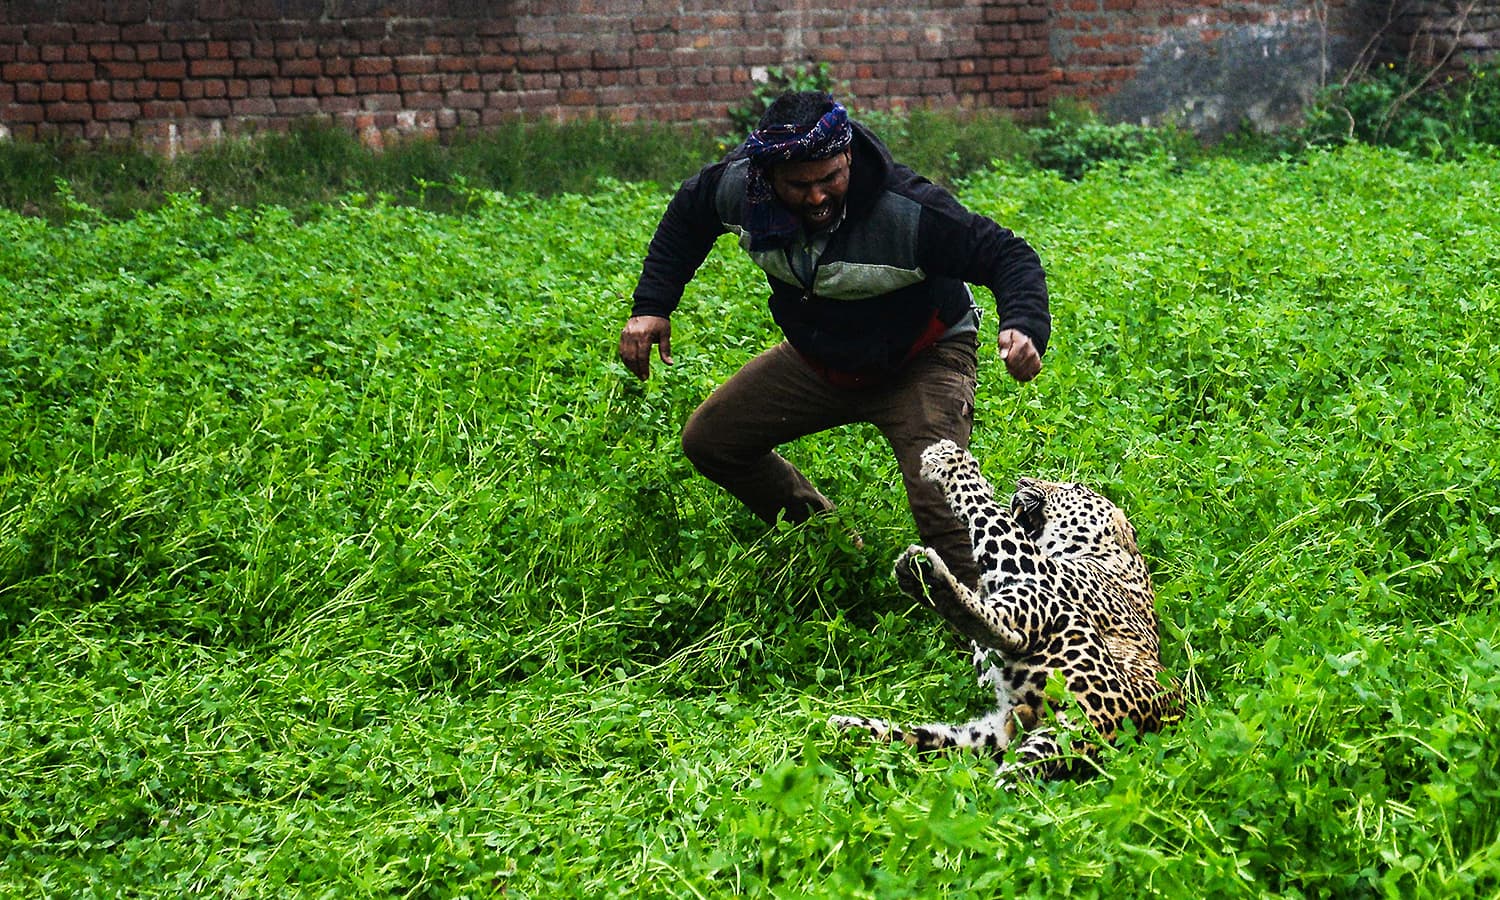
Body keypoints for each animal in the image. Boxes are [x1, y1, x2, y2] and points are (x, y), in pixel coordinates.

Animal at [830, 439, 1180, 780]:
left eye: (1075, 488)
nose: (1023, 481)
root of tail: (1098, 726)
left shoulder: (1039, 568)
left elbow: (990, 512)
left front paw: (952, 462)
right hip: (985, 737)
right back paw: (849, 726)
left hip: (1053, 612)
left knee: (1007, 630)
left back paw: (929, 581)